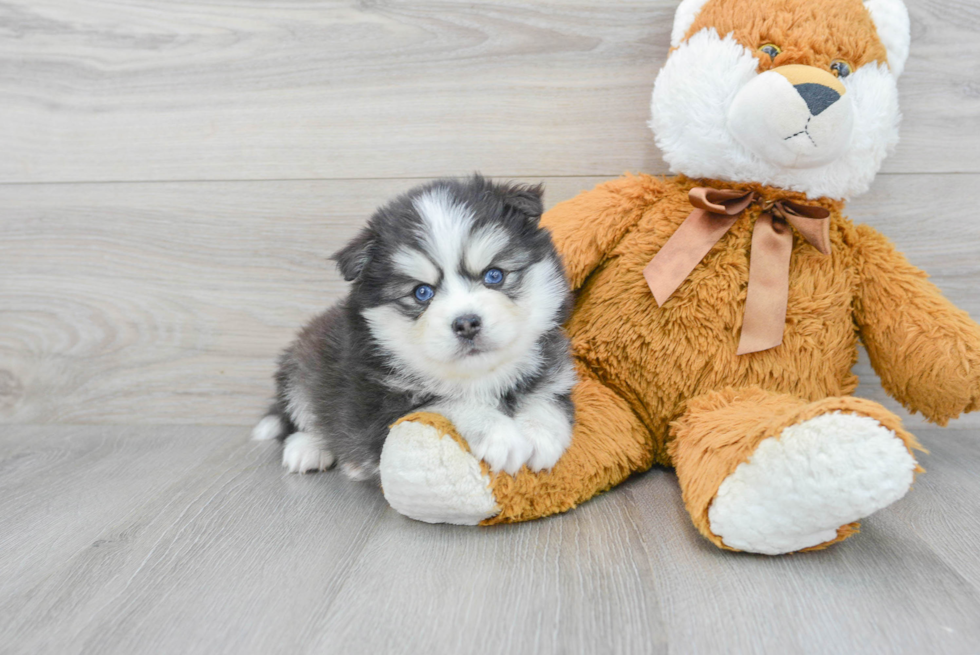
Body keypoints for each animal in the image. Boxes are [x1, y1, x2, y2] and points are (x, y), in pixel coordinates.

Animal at [251, 177, 576, 480]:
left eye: (494, 275)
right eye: (422, 293)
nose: (466, 323)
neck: (477, 376)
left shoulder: (554, 366)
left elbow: (547, 396)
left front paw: (540, 433)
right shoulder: (380, 415)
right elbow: (445, 402)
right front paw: (500, 434)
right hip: (303, 364)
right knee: (303, 413)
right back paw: (308, 447)